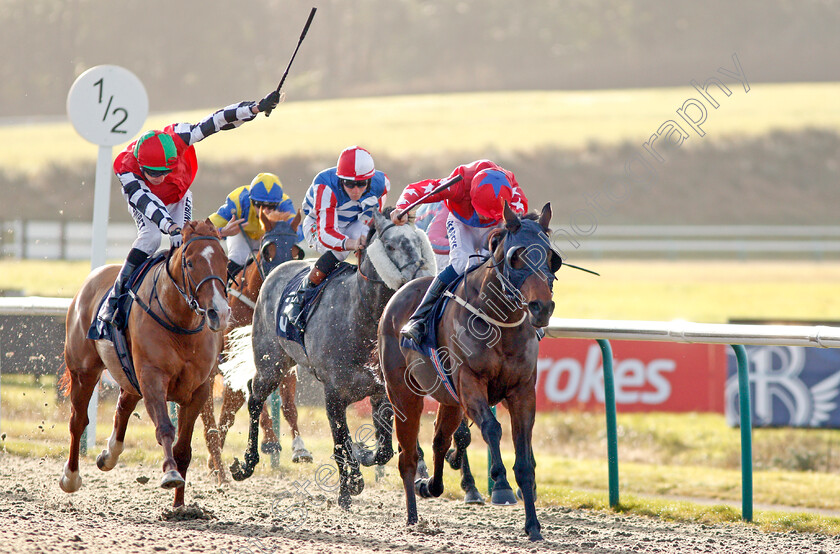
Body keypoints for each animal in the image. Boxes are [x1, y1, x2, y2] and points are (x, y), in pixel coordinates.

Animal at [59, 219, 231, 504]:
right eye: (190, 263)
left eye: (225, 261)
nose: (220, 312)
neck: (180, 323)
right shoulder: (152, 378)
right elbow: (165, 429)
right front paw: (170, 473)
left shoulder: (199, 389)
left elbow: (183, 448)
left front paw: (180, 505)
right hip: (84, 371)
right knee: (78, 420)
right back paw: (71, 477)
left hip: (128, 375)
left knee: (122, 407)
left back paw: (109, 455)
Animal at [199, 207, 312, 478]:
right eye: (268, 250)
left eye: (297, 251)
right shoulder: (237, 365)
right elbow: (251, 401)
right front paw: (269, 442)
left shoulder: (284, 362)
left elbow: (288, 404)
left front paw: (299, 448)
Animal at [230, 205, 436, 506]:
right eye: (390, 245)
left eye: (419, 242)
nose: (422, 280)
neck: (360, 318)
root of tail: (275, 271)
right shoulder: (333, 395)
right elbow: (341, 443)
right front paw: (348, 487)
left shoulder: (381, 393)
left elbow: (382, 449)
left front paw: (362, 457)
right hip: (271, 363)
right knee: (255, 398)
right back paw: (246, 464)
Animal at [378, 203, 560, 540]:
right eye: (516, 256)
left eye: (551, 256)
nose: (541, 307)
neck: (501, 322)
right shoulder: (471, 383)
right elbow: (491, 429)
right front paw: (500, 484)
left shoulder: (522, 392)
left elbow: (524, 459)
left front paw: (533, 526)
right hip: (404, 395)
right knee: (408, 455)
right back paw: (412, 516)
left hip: (449, 399)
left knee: (440, 440)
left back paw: (432, 486)